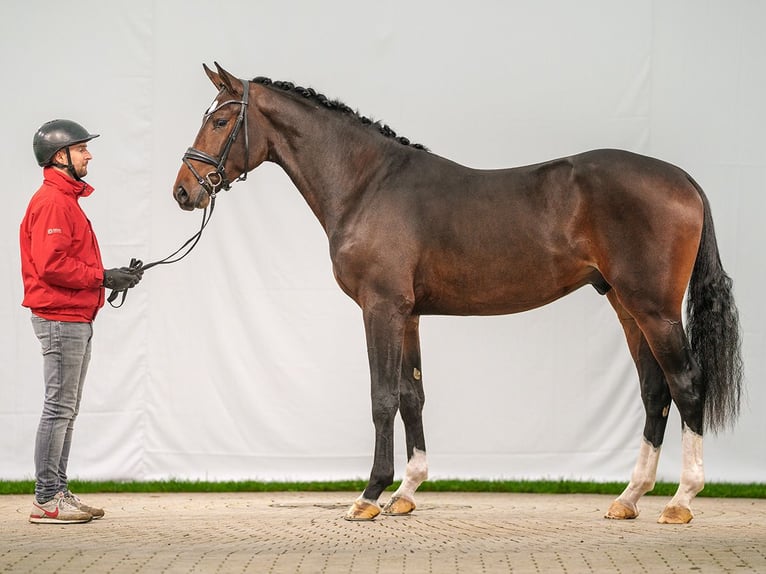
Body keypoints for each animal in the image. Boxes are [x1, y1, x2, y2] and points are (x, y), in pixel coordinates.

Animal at [171, 64, 740, 528]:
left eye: (220, 121)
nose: (183, 191)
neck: (367, 184)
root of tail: (682, 179)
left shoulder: (380, 308)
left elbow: (381, 397)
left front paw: (368, 496)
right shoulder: (408, 315)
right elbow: (412, 396)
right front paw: (405, 492)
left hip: (654, 310)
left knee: (687, 385)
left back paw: (681, 501)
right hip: (626, 306)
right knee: (654, 391)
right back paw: (629, 497)